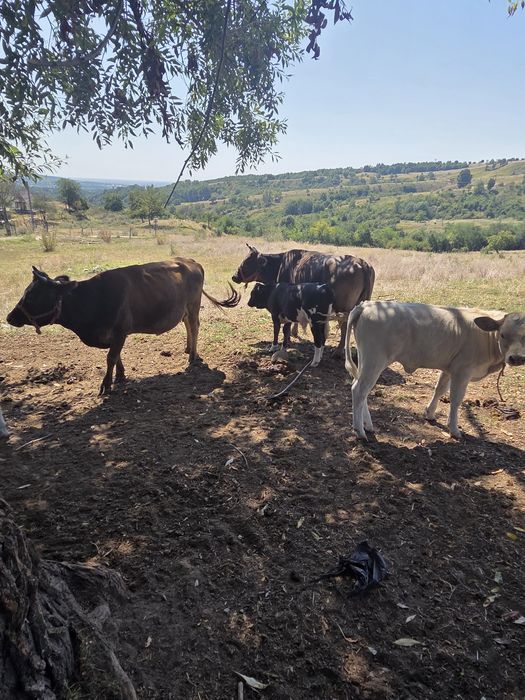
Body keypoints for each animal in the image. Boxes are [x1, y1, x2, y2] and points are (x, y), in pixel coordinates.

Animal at [7, 260, 240, 395]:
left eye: (31, 295)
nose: (9, 317)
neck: (91, 298)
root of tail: (191, 261)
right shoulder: (114, 335)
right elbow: (116, 356)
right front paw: (119, 375)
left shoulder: (120, 331)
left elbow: (110, 357)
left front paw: (106, 384)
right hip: (184, 309)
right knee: (188, 326)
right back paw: (189, 349)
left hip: (193, 306)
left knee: (195, 326)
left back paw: (192, 356)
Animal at [232, 245, 375, 356]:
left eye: (247, 262)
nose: (234, 276)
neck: (280, 265)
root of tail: (362, 263)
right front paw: (294, 333)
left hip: (344, 308)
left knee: (345, 326)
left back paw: (338, 351)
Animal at [344, 301, 525, 440]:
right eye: (503, 334)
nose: (516, 358)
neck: (486, 338)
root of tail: (367, 305)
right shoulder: (463, 370)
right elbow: (456, 399)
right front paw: (454, 429)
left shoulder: (449, 368)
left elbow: (440, 389)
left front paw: (430, 413)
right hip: (374, 360)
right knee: (359, 390)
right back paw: (359, 431)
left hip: (364, 359)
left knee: (360, 387)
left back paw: (367, 425)